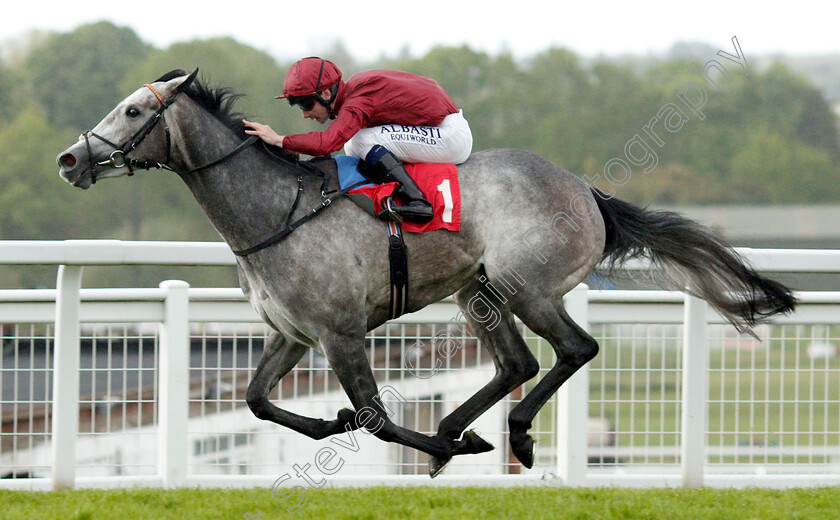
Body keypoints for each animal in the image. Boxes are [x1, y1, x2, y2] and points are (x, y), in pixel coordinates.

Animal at [54, 71, 796, 478]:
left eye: (133, 110)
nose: (69, 159)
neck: (276, 212)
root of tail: (588, 191)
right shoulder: (293, 334)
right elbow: (258, 400)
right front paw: (339, 425)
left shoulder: (341, 332)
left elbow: (378, 419)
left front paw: (405, 433)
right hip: (480, 291)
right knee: (517, 362)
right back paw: (460, 431)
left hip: (529, 285)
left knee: (574, 349)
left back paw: (508, 433)